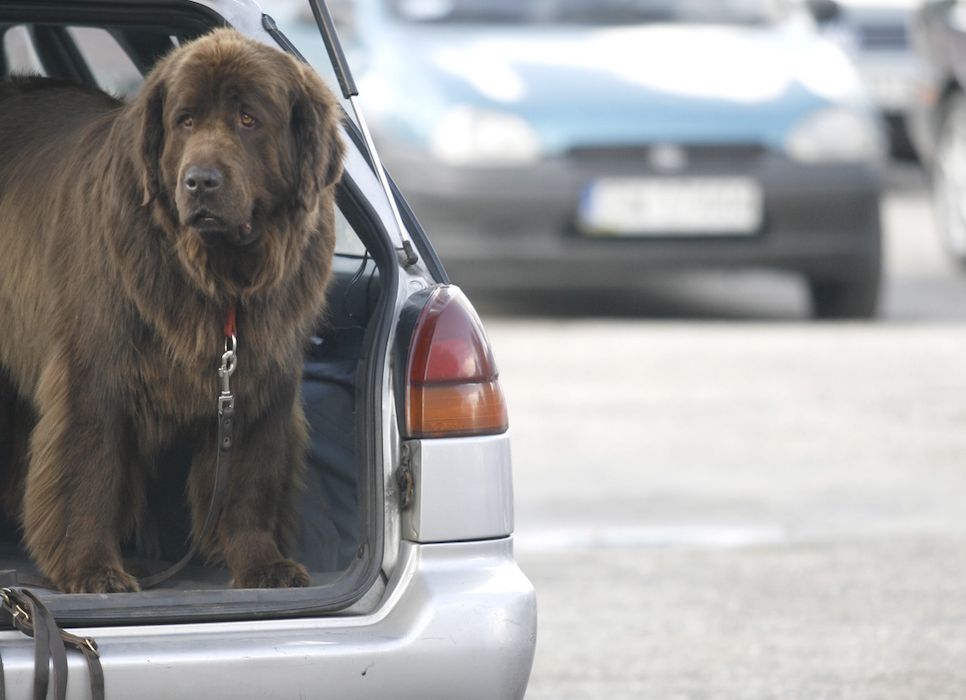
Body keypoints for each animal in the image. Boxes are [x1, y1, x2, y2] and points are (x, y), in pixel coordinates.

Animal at [0, 30, 346, 592]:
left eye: (248, 118)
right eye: (185, 120)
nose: (199, 180)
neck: (220, 280)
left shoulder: (258, 383)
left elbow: (249, 481)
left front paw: (262, 564)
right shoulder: (93, 374)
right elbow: (87, 470)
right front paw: (92, 569)